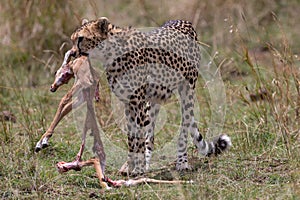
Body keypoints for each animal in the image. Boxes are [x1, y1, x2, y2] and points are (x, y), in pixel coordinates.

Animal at [35, 18, 232, 176]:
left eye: (82, 38)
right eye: (73, 39)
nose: (73, 53)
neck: (111, 54)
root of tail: (184, 21)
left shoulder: (137, 102)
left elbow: (138, 138)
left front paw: (136, 168)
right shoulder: (129, 103)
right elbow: (133, 138)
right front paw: (132, 166)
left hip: (187, 91)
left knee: (185, 125)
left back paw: (181, 162)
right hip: (154, 99)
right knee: (150, 135)